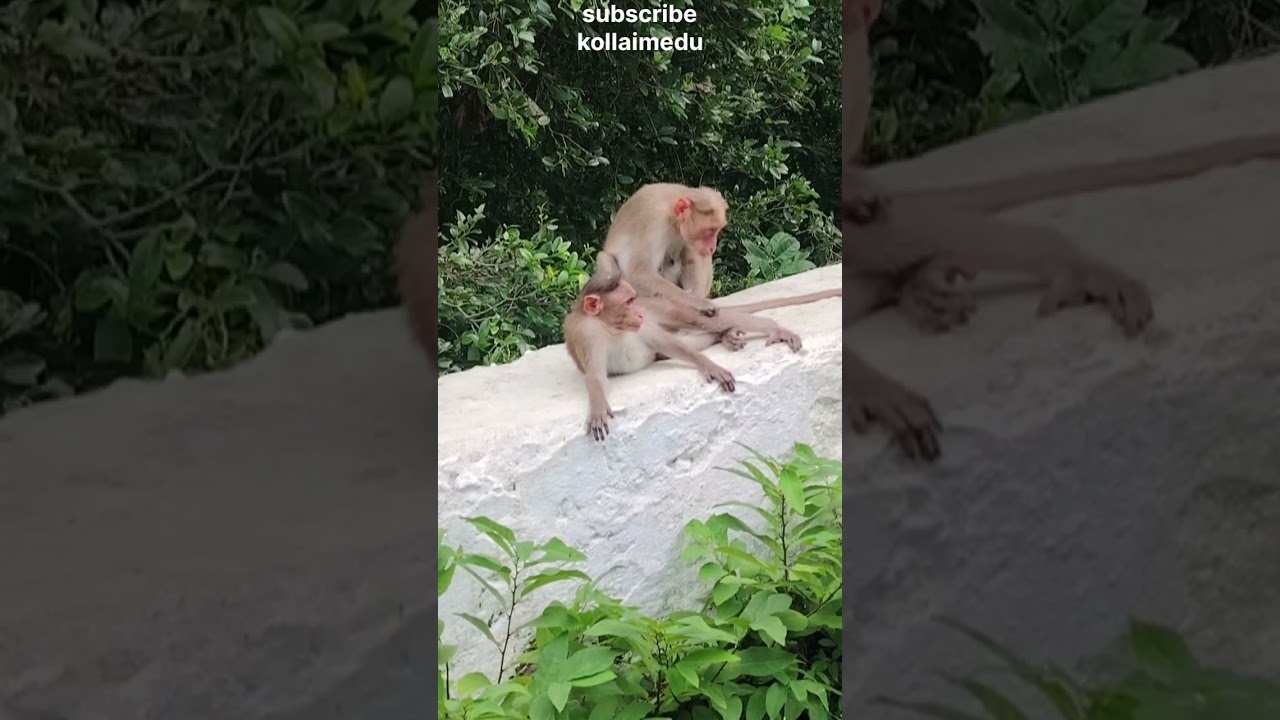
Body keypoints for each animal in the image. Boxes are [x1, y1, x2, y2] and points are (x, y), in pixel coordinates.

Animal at [564, 252, 841, 440]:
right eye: (628, 302)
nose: (639, 312)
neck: (611, 328)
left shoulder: (642, 327)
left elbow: (674, 345)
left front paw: (711, 366)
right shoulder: (588, 336)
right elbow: (595, 376)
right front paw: (597, 403)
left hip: (665, 308)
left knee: (703, 321)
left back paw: (767, 327)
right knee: (675, 346)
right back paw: (727, 335)